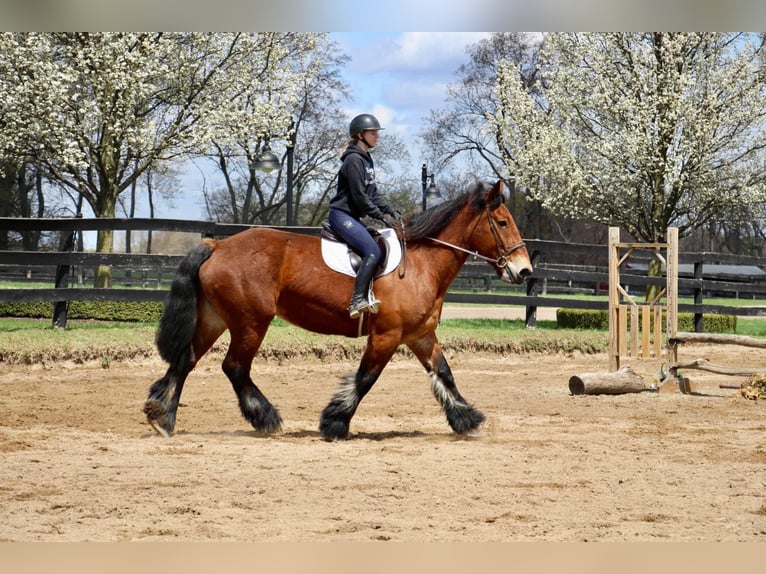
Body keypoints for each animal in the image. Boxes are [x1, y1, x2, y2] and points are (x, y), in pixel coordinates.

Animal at [147, 180, 536, 440]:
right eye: (502, 222)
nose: (524, 271)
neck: (422, 264)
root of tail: (219, 245)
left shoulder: (421, 336)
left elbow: (445, 374)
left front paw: (466, 419)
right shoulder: (386, 337)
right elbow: (365, 379)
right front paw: (334, 423)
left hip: (215, 318)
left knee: (186, 360)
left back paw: (162, 417)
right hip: (251, 322)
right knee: (235, 367)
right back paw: (265, 418)